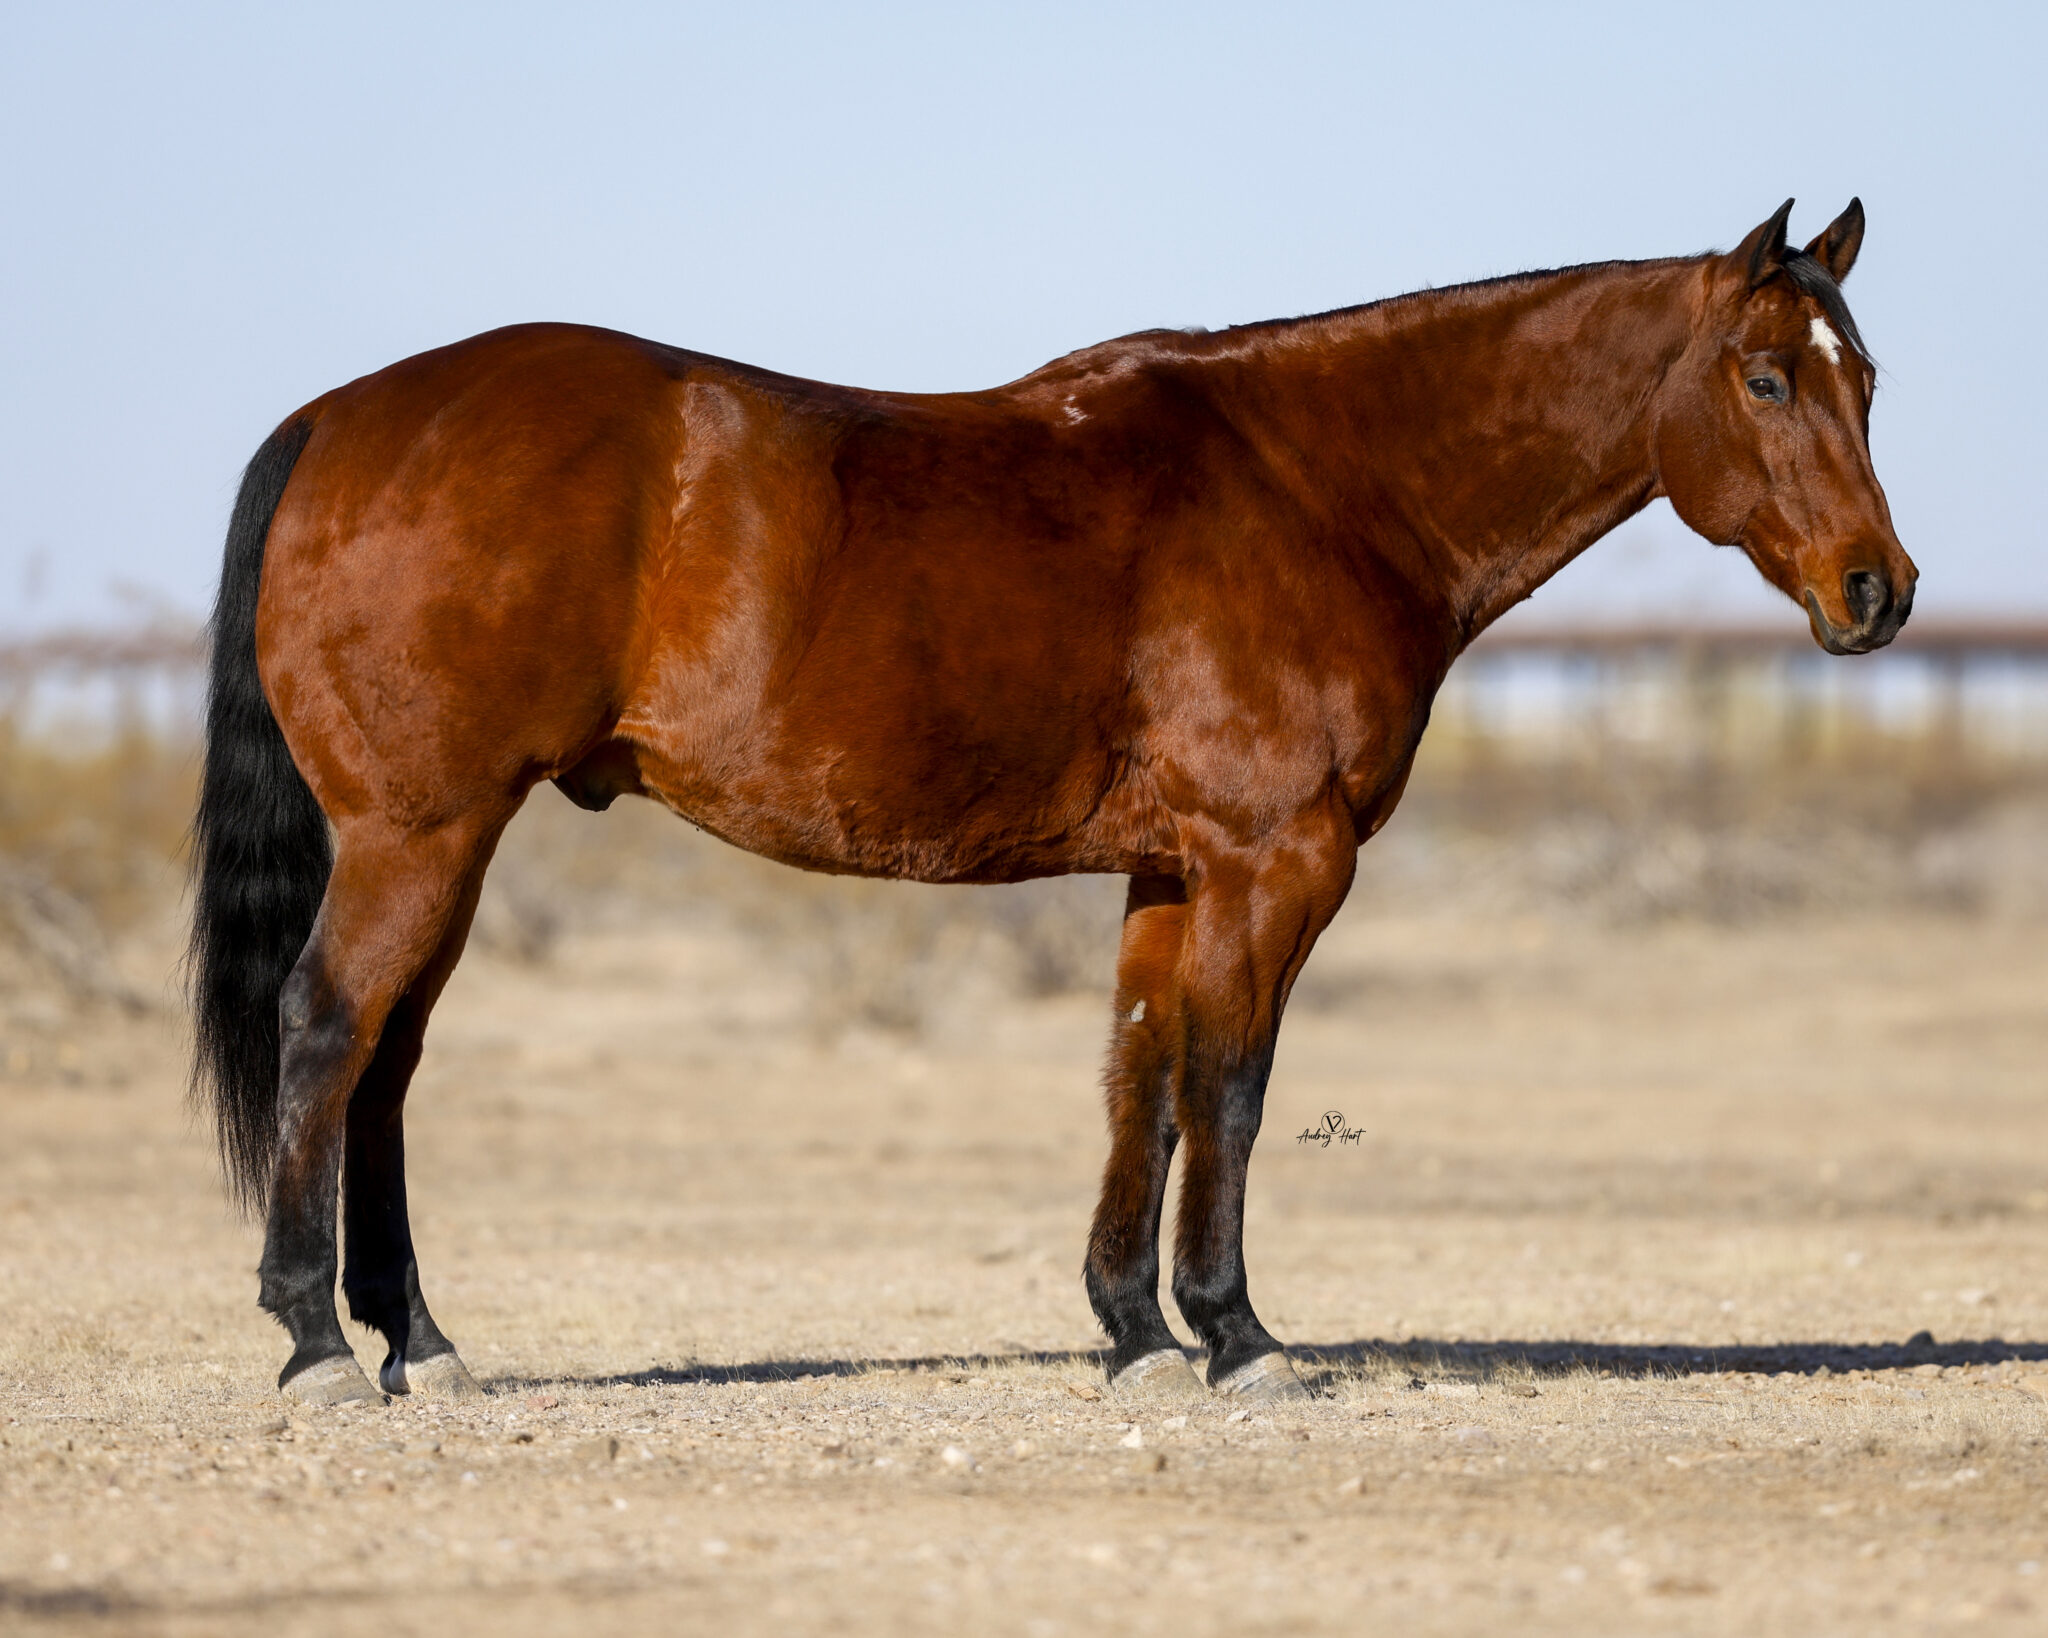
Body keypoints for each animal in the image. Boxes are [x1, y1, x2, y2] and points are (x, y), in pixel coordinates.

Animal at [191, 198, 1913, 1407]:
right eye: (1767, 375)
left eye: (1869, 381)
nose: (1879, 591)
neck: (1319, 486)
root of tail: (342, 416)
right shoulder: (1275, 860)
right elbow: (1231, 1084)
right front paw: (1236, 1334)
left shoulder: (1171, 871)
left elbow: (1138, 1081)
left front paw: (1135, 1329)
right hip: (422, 835)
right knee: (328, 1031)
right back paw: (318, 1341)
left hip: (452, 841)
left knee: (389, 1061)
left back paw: (418, 1339)